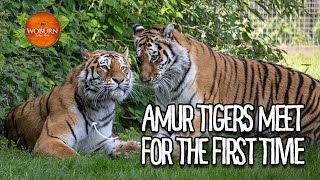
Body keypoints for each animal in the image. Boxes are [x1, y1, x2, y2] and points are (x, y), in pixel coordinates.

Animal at [2, 47, 140, 158]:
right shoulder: (49, 140)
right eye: (105, 67)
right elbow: (76, 157)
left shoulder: (100, 143)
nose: (119, 80)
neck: (101, 106)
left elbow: (116, 146)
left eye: (123, 68)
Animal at [131, 23, 320, 156]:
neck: (170, 83)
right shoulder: (167, 114)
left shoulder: (203, 112)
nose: (144, 80)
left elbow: (180, 138)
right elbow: (158, 140)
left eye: (154, 58)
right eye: (139, 60)